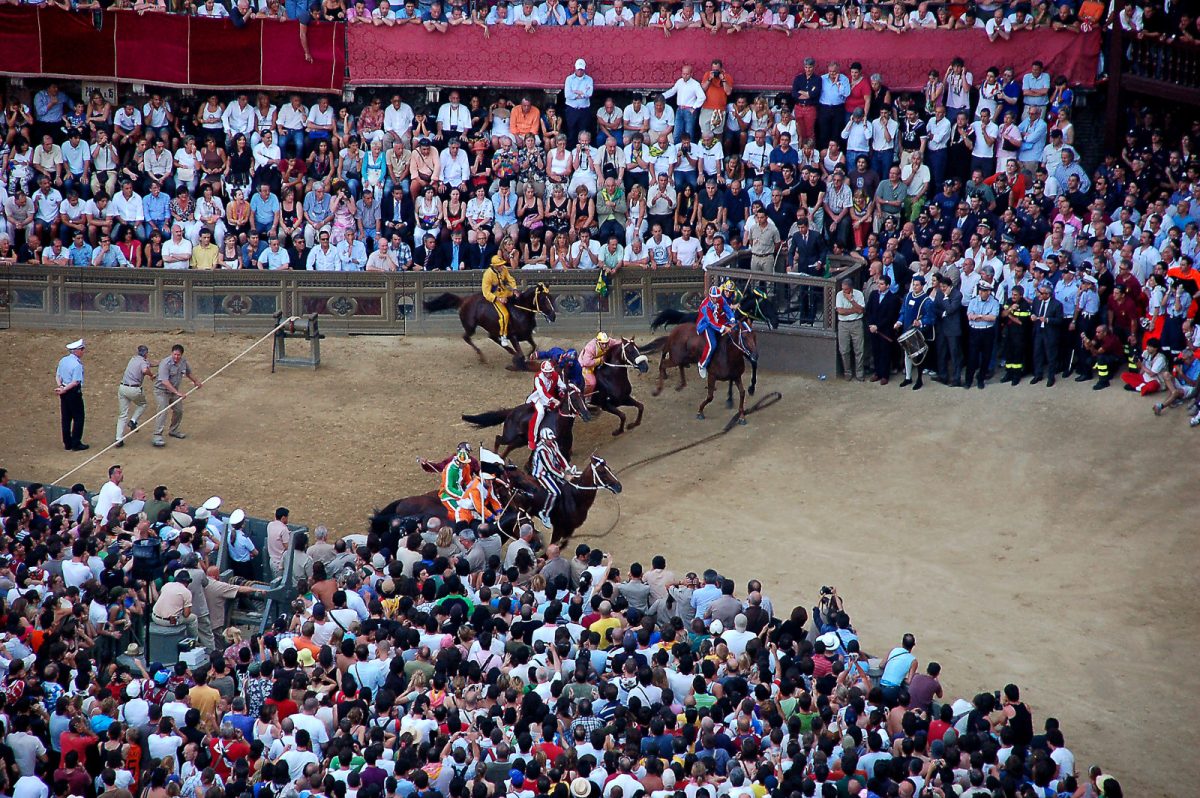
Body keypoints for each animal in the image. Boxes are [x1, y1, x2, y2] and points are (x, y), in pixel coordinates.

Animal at [422, 282, 556, 362]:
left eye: (551, 297)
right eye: (543, 299)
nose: (553, 316)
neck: (520, 310)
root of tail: (464, 300)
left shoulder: (527, 334)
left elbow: (534, 346)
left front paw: (528, 356)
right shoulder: (513, 336)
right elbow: (522, 353)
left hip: (491, 328)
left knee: (492, 337)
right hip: (470, 327)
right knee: (466, 337)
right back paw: (482, 356)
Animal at [458, 384, 590, 458]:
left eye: (583, 398)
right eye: (574, 399)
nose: (587, 415)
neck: (559, 423)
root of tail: (511, 411)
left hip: (522, 439)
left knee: (509, 447)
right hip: (509, 436)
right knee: (498, 439)